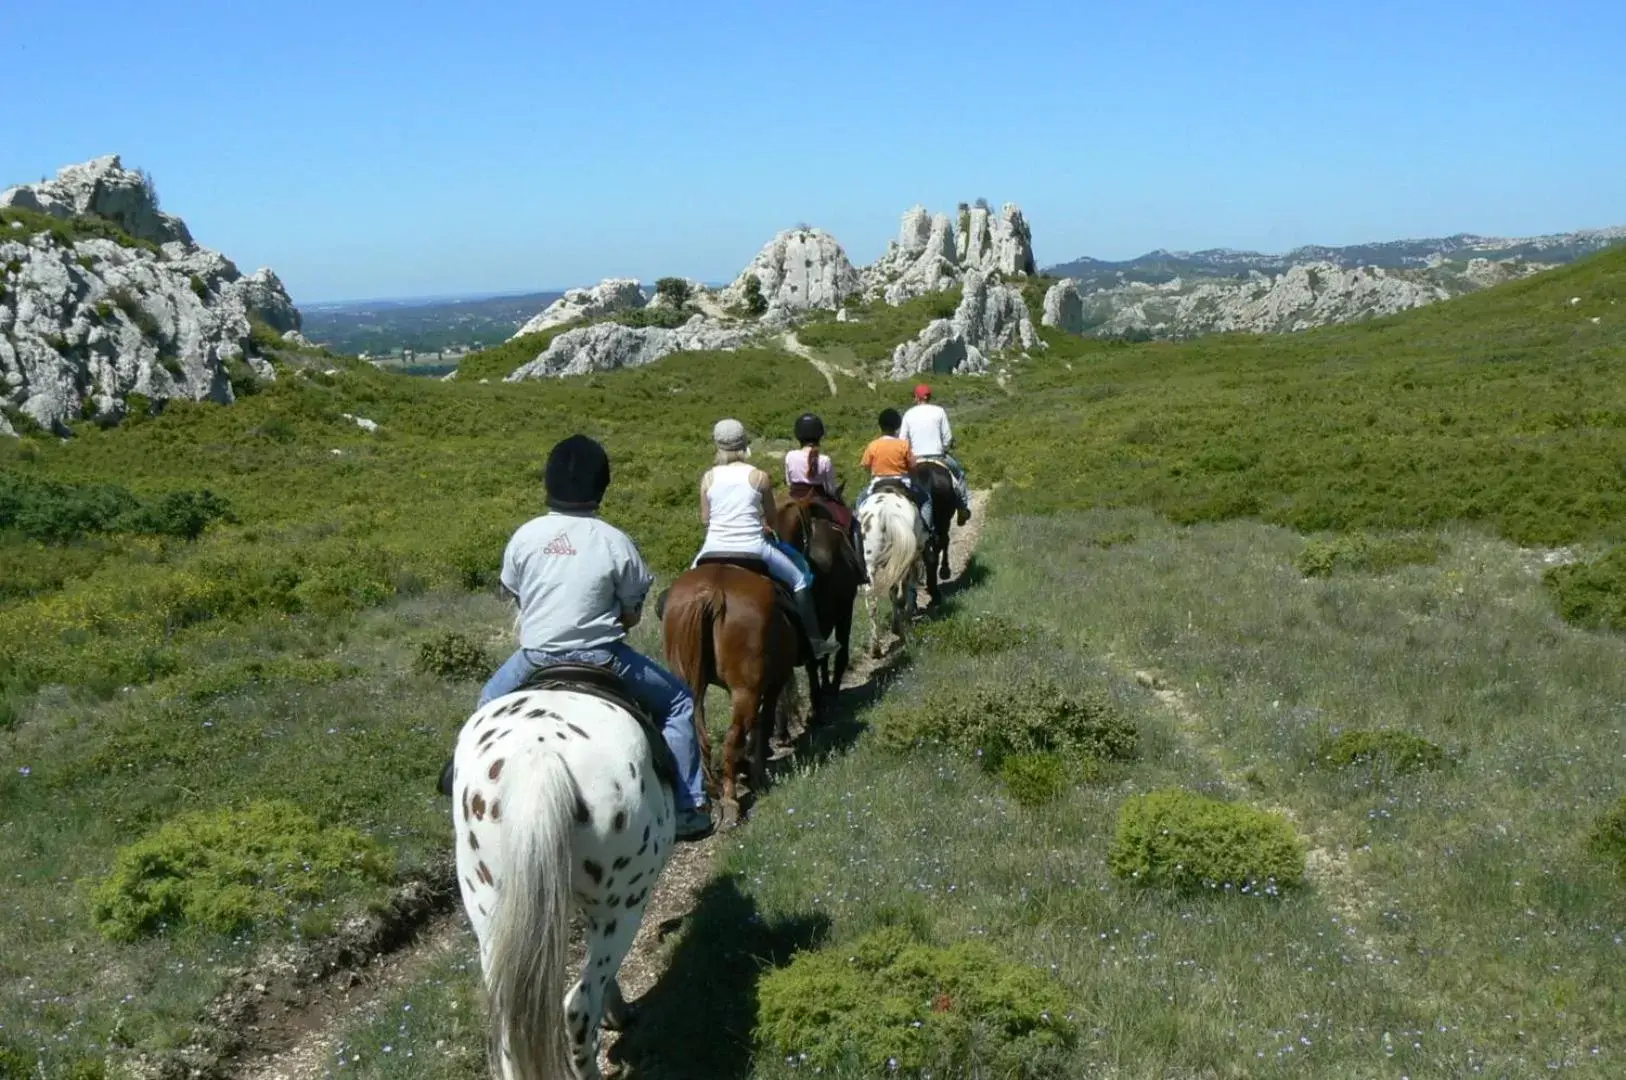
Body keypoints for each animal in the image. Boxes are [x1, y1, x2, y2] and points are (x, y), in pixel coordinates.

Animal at [448, 666, 676, 1080]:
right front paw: (618, 1013)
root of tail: (537, 759)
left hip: (489, 914)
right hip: (624, 909)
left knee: (507, 1026)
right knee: (577, 1008)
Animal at [660, 556, 806, 826]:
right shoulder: (770, 685)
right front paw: (755, 770)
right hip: (746, 690)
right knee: (733, 737)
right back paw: (731, 800)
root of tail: (711, 592)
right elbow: (763, 723)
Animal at [852, 491, 930, 657]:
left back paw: (875, 649)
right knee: (899, 595)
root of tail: (885, 513)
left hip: (870, 565)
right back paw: (900, 631)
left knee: (872, 602)